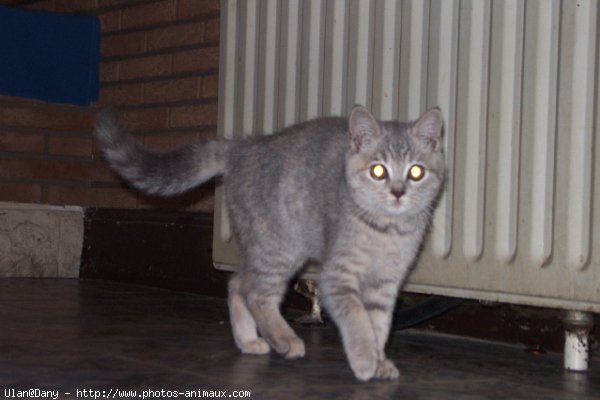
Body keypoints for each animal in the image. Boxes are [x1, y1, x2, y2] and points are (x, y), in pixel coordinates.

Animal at [95, 105, 446, 382]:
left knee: (237, 284)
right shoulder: (336, 277)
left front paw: (380, 359)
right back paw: (283, 339)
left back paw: (249, 341)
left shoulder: (385, 284)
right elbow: (358, 319)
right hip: (278, 248)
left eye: (416, 172)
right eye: (378, 171)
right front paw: (364, 359)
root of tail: (243, 146)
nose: (398, 192)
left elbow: (380, 324)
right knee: (257, 295)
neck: (386, 232)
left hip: (264, 248)